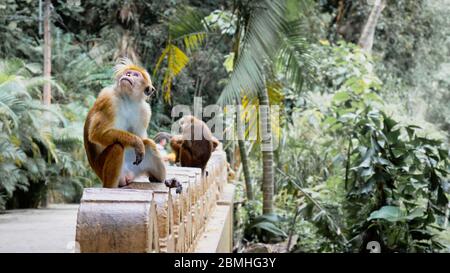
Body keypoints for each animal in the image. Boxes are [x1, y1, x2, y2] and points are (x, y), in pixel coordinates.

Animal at [83, 57, 182, 191]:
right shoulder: (107, 99)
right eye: (128, 73)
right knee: (117, 147)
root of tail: (127, 176)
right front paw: (136, 142)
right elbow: (96, 134)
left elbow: (142, 137)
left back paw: (163, 180)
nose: (128, 75)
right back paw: (110, 188)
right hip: (102, 169)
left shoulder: (145, 111)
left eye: (135, 75)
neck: (127, 99)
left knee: (149, 144)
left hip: (135, 167)